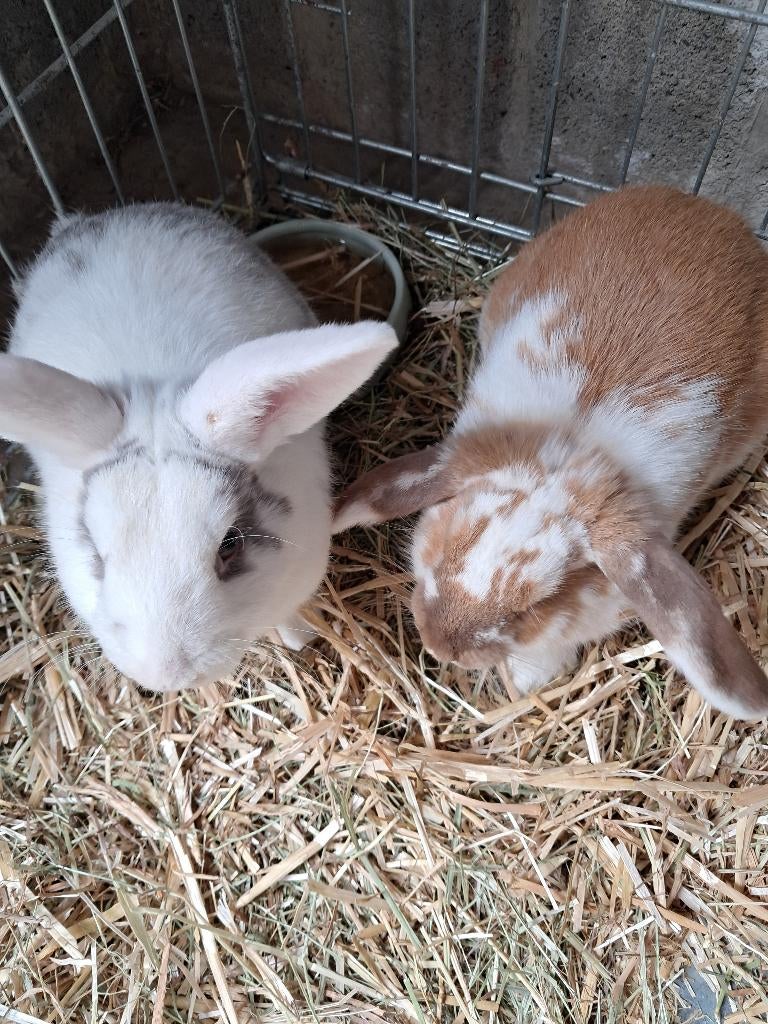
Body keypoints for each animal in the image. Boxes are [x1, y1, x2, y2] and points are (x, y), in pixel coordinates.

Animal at [335, 185, 768, 721]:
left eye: (536, 607)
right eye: (447, 546)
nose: (437, 644)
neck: (574, 445)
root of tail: (718, 216)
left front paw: (525, 682)